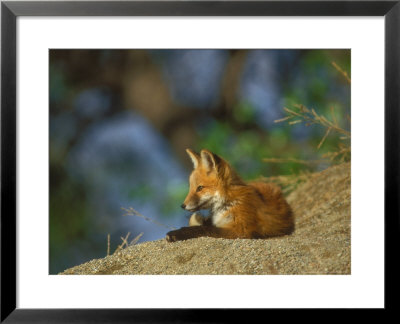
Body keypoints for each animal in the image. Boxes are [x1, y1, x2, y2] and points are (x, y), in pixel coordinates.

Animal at [166, 148, 294, 242]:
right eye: (191, 188)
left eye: (200, 188)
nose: (182, 205)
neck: (229, 201)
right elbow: (202, 224)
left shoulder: (240, 230)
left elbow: (203, 229)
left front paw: (177, 233)